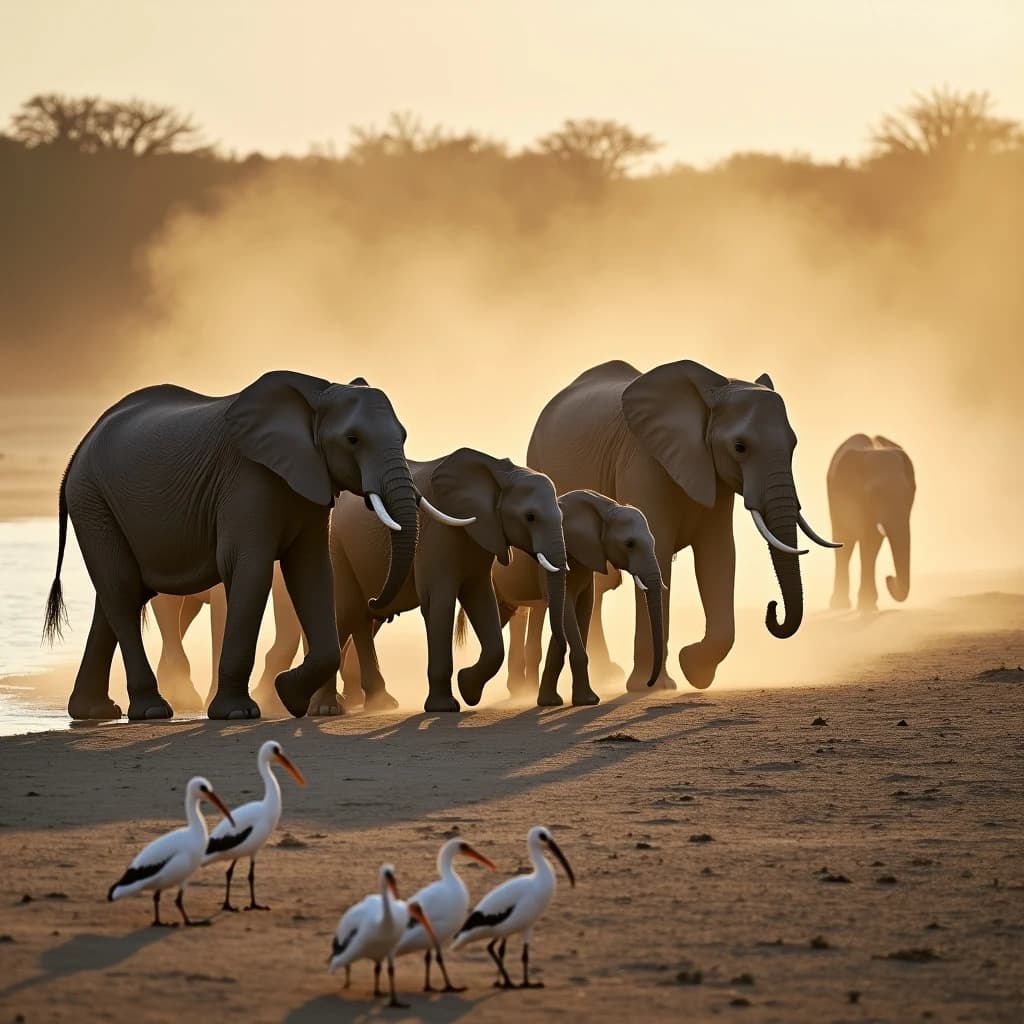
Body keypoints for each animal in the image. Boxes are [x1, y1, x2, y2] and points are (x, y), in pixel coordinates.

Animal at [43, 370, 441, 721]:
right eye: (353, 439)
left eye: (403, 436)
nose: (375, 602)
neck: (317, 393)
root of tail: (76, 454)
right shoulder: (247, 480)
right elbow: (250, 569)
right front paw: (238, 712)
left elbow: (312, 572)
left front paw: (288, 695)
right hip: (92, 500)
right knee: (124, 594)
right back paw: (152, 710)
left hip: (100, 506)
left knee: (113, 597)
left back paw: (94, 712)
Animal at [490, 489, 664, 707]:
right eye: (629, 544)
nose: (649, 683)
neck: (605, 509)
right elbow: (566, 609)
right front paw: (589, 700)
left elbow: (581, 608)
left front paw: (551, 702)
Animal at [527, 359, 839, 692]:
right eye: (740, 447)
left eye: (793, 445)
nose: (772, 608)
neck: (715, 389)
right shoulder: (643, 464)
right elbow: (659, 553)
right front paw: (654, 686)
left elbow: (718, 556)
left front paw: (694, 669)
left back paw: (607, 675)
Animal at [827, 434, 915, 611]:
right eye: (875, 493)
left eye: (909, 492)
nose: (889, 578)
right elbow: (868, 539)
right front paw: (867, 605)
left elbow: (873, 541)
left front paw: (868, 605)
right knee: (843, 541)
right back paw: (840, 605)